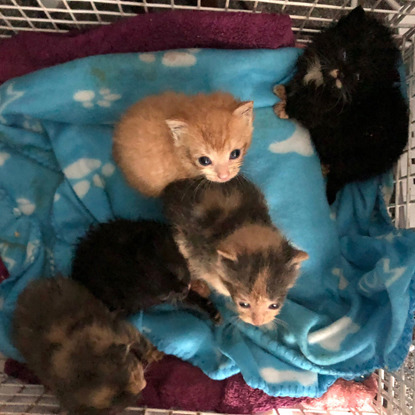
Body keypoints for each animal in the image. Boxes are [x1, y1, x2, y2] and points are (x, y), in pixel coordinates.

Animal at [11, 276, 161, 415]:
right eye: (115, 401)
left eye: (134, 372)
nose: (143, 385)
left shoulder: (120, 330)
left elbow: (141, 341)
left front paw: (155, 354)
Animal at [274, 7, 408, 205]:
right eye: (345, 54)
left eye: (358, 77)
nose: (342, 73)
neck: (325, 80)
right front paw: (284, 90)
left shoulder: (320, 111)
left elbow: (304, 109)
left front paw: (285, 108)